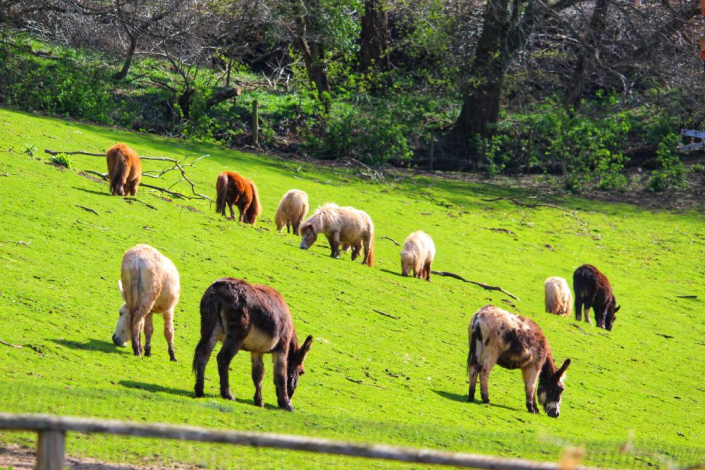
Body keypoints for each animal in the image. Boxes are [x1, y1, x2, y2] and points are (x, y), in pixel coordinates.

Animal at [194, 278, 312, 410]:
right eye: (301, 372)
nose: (290, 398)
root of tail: (217, 289)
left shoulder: (257, 351)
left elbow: (258, 374)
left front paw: (259, 401)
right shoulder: (282, 347)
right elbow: (281, 375)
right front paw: (287, 405)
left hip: (211, 328)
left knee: (203, 353)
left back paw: (200, 390)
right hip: (236, 336)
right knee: (222, 358)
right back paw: (227, 394)